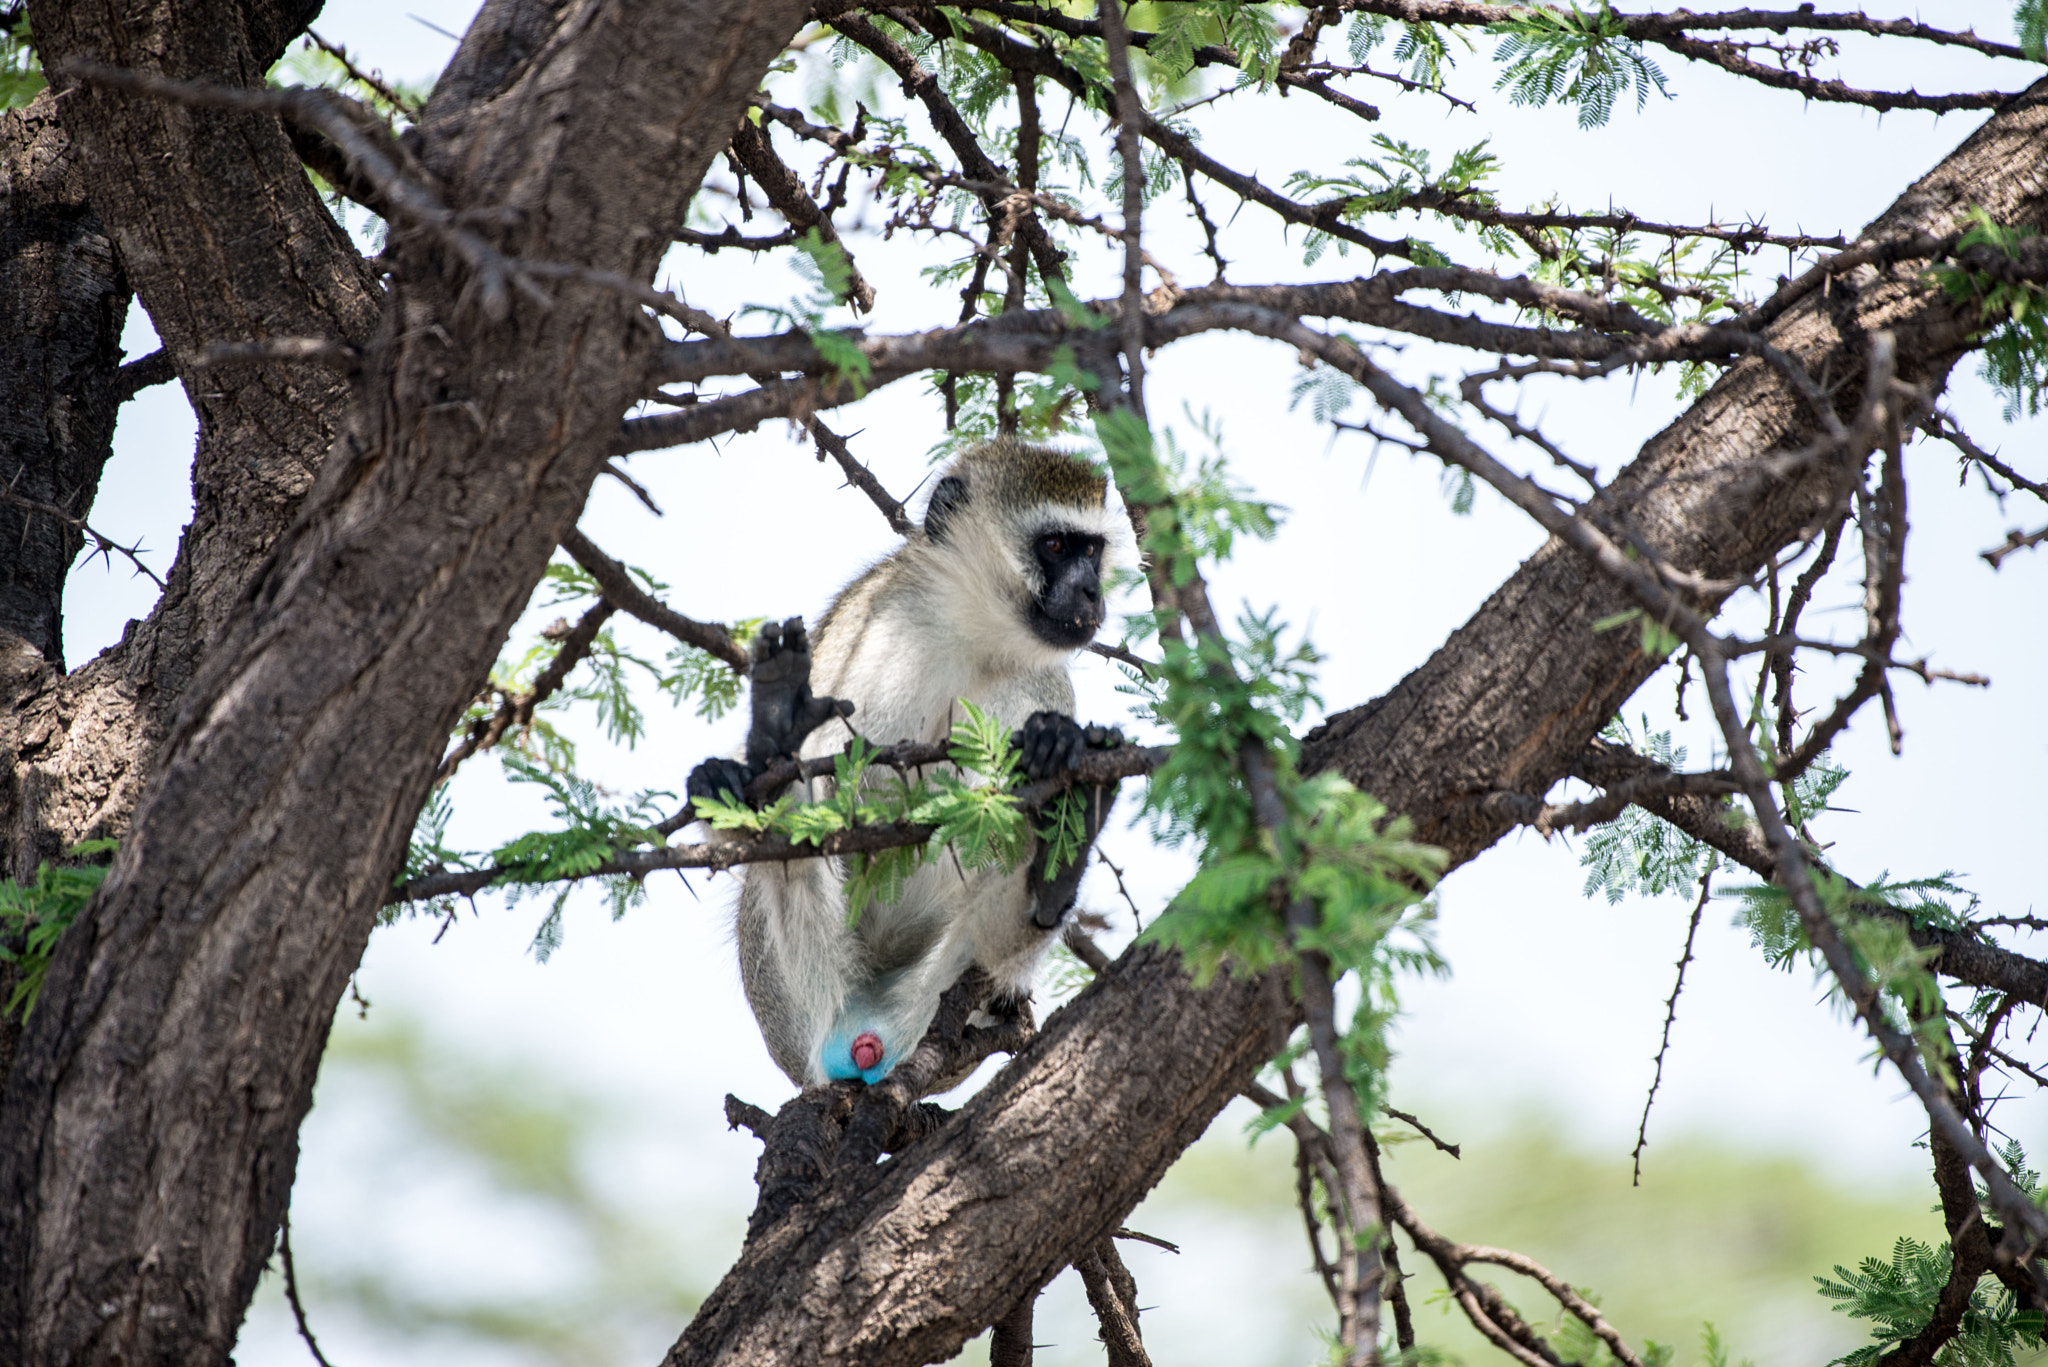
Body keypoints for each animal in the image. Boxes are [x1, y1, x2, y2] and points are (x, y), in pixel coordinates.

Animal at [687, 439, 1130, 1089]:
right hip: (794, 1004)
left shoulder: (1042, 678)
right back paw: (773, 750)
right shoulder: (883, 628)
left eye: (1093, 551)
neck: (973, 633)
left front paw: (1051, 747)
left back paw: (1054, 871)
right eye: (1054, 546)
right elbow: (848, 795)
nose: (1093, 593)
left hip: (935, 993)